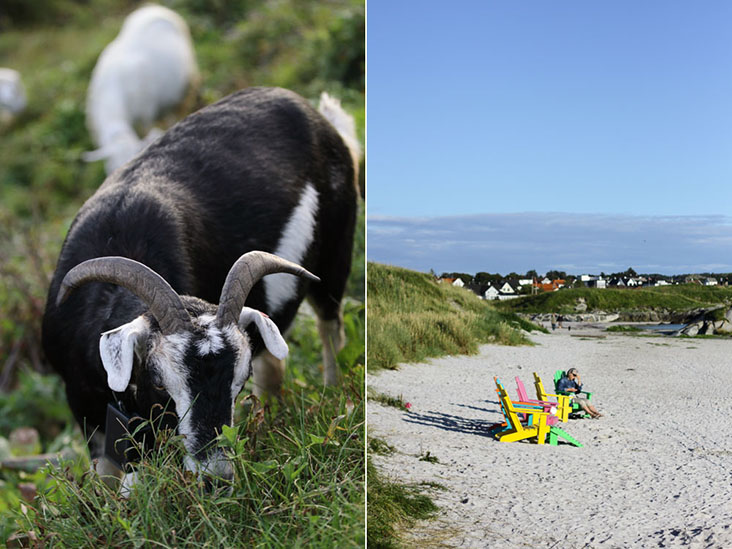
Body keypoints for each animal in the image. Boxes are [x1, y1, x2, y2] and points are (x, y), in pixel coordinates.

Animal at [42, 86, 360, 486]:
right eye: (160, 383)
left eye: (238, 382)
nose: (216, 478)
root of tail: (320, 117)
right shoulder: (84, 406)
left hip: (335, 254)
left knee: (330, 327)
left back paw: (334, 396)